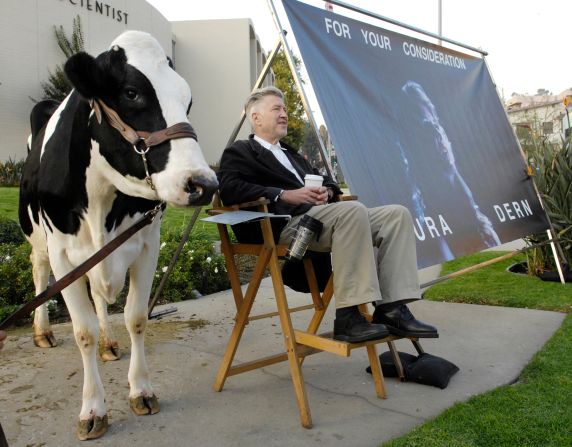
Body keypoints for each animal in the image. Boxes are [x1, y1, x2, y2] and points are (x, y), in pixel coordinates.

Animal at [18, 31, 217, 440]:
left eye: (187, 99)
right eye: (131, 93)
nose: (203, 184)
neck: (99, 199)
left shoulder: (147, 244)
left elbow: (135, 317)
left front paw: (141, 390)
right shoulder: (63, 255)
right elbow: (83, 332)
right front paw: (92, 409)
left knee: (99, 296)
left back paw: (110, 343)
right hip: (40, 242)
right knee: (39, 273)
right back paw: (42, 331)